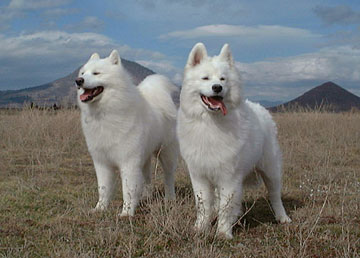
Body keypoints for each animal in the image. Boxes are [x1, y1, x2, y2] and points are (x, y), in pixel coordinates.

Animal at [76, 50, 179, 216]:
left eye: (96, 73)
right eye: (83, 73)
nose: (78, 81)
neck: (105, 112)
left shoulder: (128, 162)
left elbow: (128, 190)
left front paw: (126, 213)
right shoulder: (102, 162)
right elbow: (103, 189)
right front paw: (100, 208)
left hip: (166, 153)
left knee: (169, 176)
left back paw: (170, 198)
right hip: (144, 157)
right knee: (147, 178)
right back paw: (146, 197)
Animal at [176, 43, 292, 239]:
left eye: (223, 79)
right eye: (205, 78)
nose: (217, 87)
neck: (211, 123)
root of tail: (262, 109)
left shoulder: (229, 177)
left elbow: (226, 206)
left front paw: (223, 233)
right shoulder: (200, 175)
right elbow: (203, 205)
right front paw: (201, 227)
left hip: (270, 170)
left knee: (275, 196)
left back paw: (282, 218)